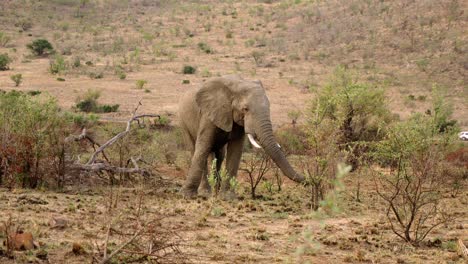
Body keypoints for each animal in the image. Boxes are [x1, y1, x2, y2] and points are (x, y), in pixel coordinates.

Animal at [177, 74, 306, 198]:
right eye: (245, 109)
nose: (307, 179)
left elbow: (235, 150)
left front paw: (227, 197)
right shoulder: (209, 114)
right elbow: (203, 147)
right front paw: (187, 196)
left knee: (219, 154)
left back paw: (215, 191)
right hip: (184, 123)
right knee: (196, 149)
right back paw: (205, 193)